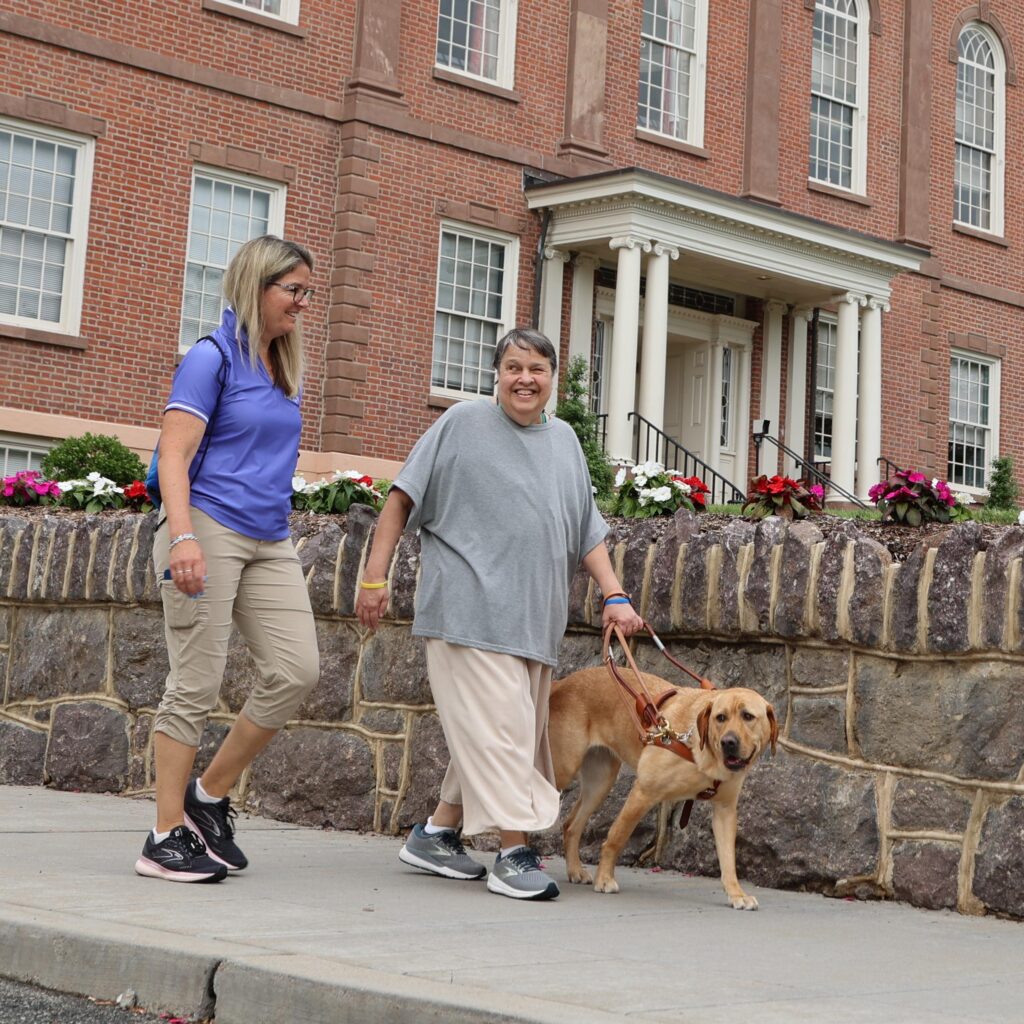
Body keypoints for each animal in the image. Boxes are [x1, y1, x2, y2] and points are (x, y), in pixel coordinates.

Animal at [552, 667, 774, 909]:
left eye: (748, 716)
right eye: (720, 717)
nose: (728, 742)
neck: (700, 751)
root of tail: (562, 683)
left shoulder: (724, 811)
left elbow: (728, 861)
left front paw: (736, 894)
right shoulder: (642, 793)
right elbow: (616, 837)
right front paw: (604, 879)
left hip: (600, 783)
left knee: (571, 825)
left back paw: (575, 870)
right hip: (563, 769)